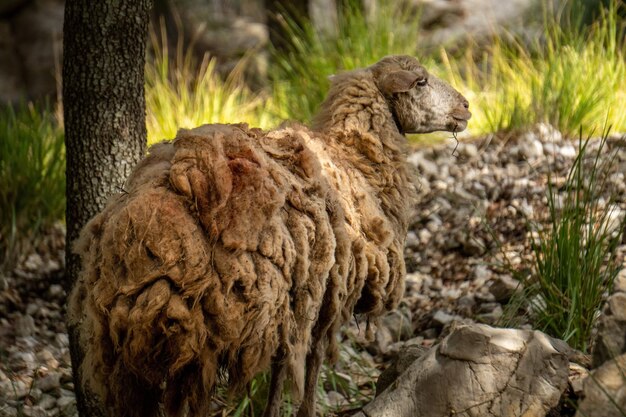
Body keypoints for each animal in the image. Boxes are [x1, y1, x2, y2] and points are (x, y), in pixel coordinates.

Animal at [68, 55, 468, 416]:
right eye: (420, 82)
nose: (466, 106)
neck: (358, 162)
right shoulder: (323, 295)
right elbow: (307, 365)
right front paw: (303, 410)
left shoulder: (297, 303)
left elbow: (283, 368)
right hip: (201, 330)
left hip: (122, 342)